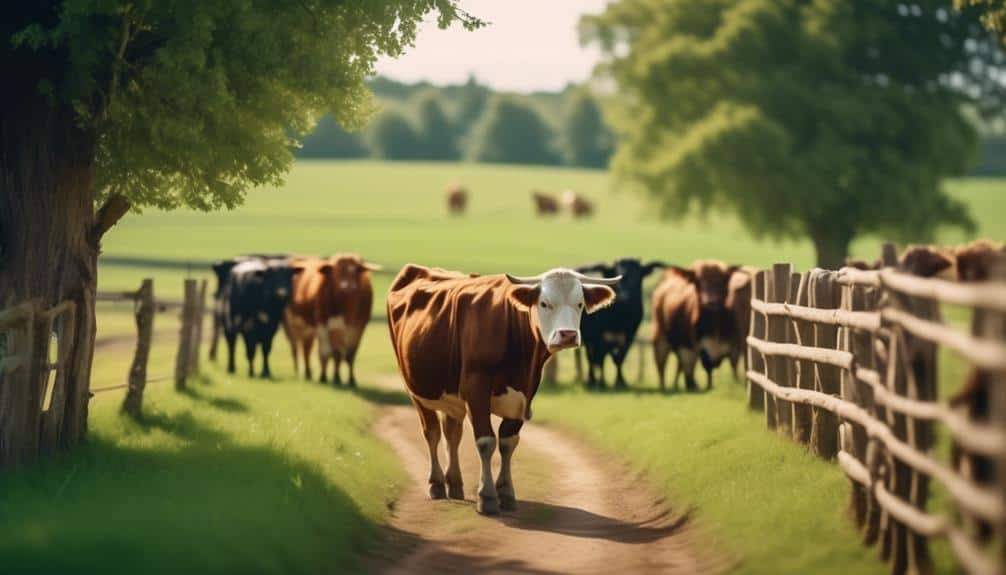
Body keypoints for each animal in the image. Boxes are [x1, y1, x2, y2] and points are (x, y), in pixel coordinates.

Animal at [284, 254, 379, 386]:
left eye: (356, 270)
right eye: (336, 270)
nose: (347, 286)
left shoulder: (357, 327)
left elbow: (348, 354)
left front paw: (347, 379)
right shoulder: (322, 324)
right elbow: (325, 352)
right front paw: (323, 377)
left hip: (309, 328)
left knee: (307, 348)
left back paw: (309, 373)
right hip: (292, 323)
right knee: (296, 347)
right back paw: (301, 372)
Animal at [387, 265, 619, 515]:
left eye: (580, 304)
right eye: (544, 303)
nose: (568, 335)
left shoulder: (524, 394)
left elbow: (508, 442)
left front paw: (506, 492)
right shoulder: (475, 388)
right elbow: (486, 441)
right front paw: (487, 495)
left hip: (451, 397)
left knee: (452, 433)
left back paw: (455, 483)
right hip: (415, 390)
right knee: (432, 433)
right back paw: (437, 483)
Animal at [574, 258, 665, 389]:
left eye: (638, 276)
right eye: (617, 274)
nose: (626, 296)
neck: (620, 316)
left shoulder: (629, 336)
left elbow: (619, 358)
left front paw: (620, 381)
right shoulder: (600, 337)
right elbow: (601, 358)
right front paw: (601, 382)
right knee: (591, 358)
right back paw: (592, 380)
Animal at [652, 260, 740, 391]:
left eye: (722, 280)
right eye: (698, 281)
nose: (711, 301)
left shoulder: (734, 348)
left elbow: (734, 373)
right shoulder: (690, 349)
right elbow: (693, 376)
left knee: (679, 366)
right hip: (661, 338)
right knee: (662, 365)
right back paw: (664, 388)